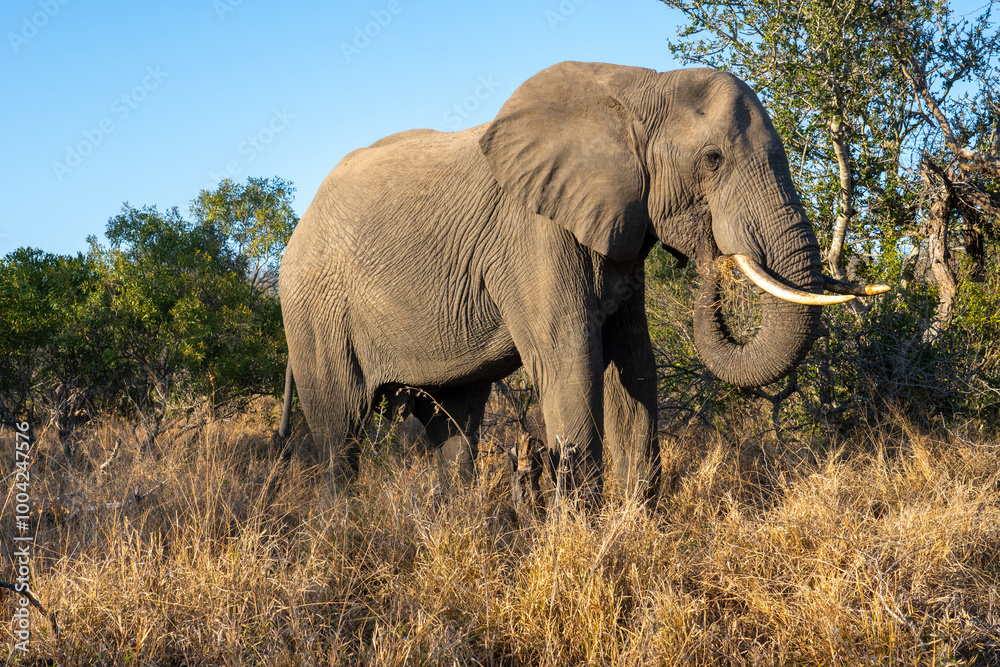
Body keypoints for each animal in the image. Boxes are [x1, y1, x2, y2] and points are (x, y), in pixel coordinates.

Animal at [277, 61, 885, 504]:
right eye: (712, 159)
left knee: (456, 425)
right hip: (315, 309)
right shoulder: (532, 233)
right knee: (340, 429)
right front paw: (584, 533)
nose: (714, 258)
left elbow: (633, 364)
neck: (637, 90)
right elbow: (571, 358)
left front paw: (637, 527)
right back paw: (342, 527)